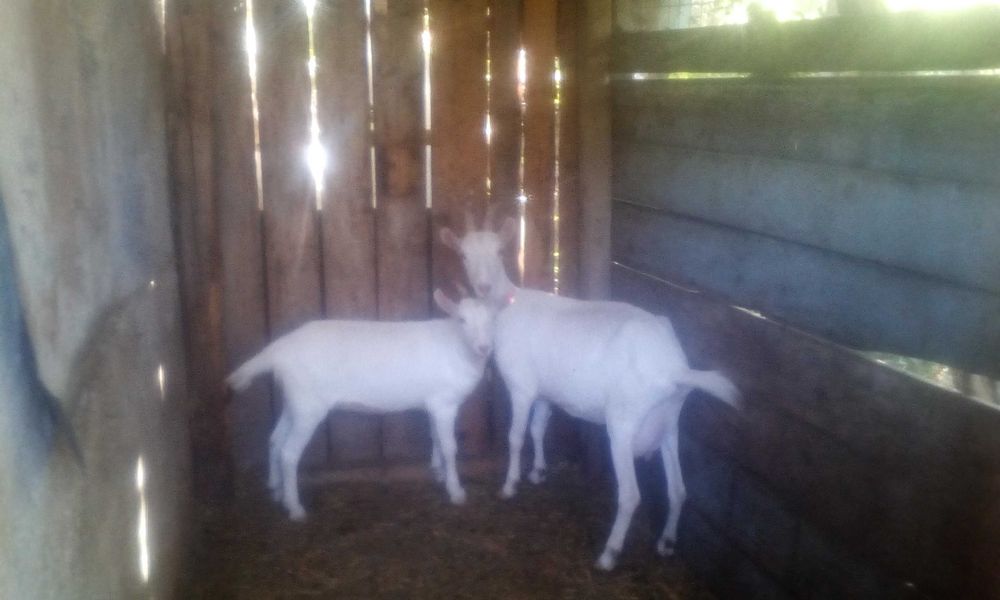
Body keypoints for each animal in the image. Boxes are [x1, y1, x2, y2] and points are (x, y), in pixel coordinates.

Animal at [226, 289, 495, 520]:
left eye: (493, 319)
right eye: (462, 320)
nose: (484, 347)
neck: (456, 347)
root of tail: (278, 351)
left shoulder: (433, 402)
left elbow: (435, 438)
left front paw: (438, 473)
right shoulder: (445, 403)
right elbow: (449, 447)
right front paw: (456, 491)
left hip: (294, 401)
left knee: (275, 439)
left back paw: (277, 491)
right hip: (309, 405)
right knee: (289, 453)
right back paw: (294, 507)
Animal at [441, 218, 741, 570]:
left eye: (501, 251)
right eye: (463, 255)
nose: (484, 286)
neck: (506, 308)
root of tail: (674, 368)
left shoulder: (522, 386)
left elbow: (515, 436)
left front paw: (510, 485)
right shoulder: (545, 391)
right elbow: (538, 429)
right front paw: (538, 472)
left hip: (624, 422)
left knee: (631, 495)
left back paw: (609, 555)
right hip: (670, 421)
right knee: (679, 489)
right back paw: (666, 543)